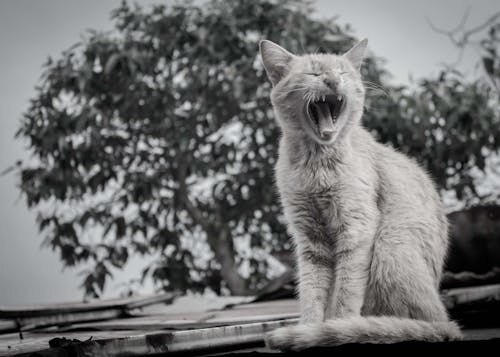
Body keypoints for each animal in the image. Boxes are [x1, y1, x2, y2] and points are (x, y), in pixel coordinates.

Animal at [260, 37, 462, 350]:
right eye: (314, 73)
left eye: (342, 72)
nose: (332, 81)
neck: (316, 164)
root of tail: (447, 324)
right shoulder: (310, 240)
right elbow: (312, 293)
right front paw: (310, 328)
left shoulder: (356, 228)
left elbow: (345, 292)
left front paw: (338, 327)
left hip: (389, 245)